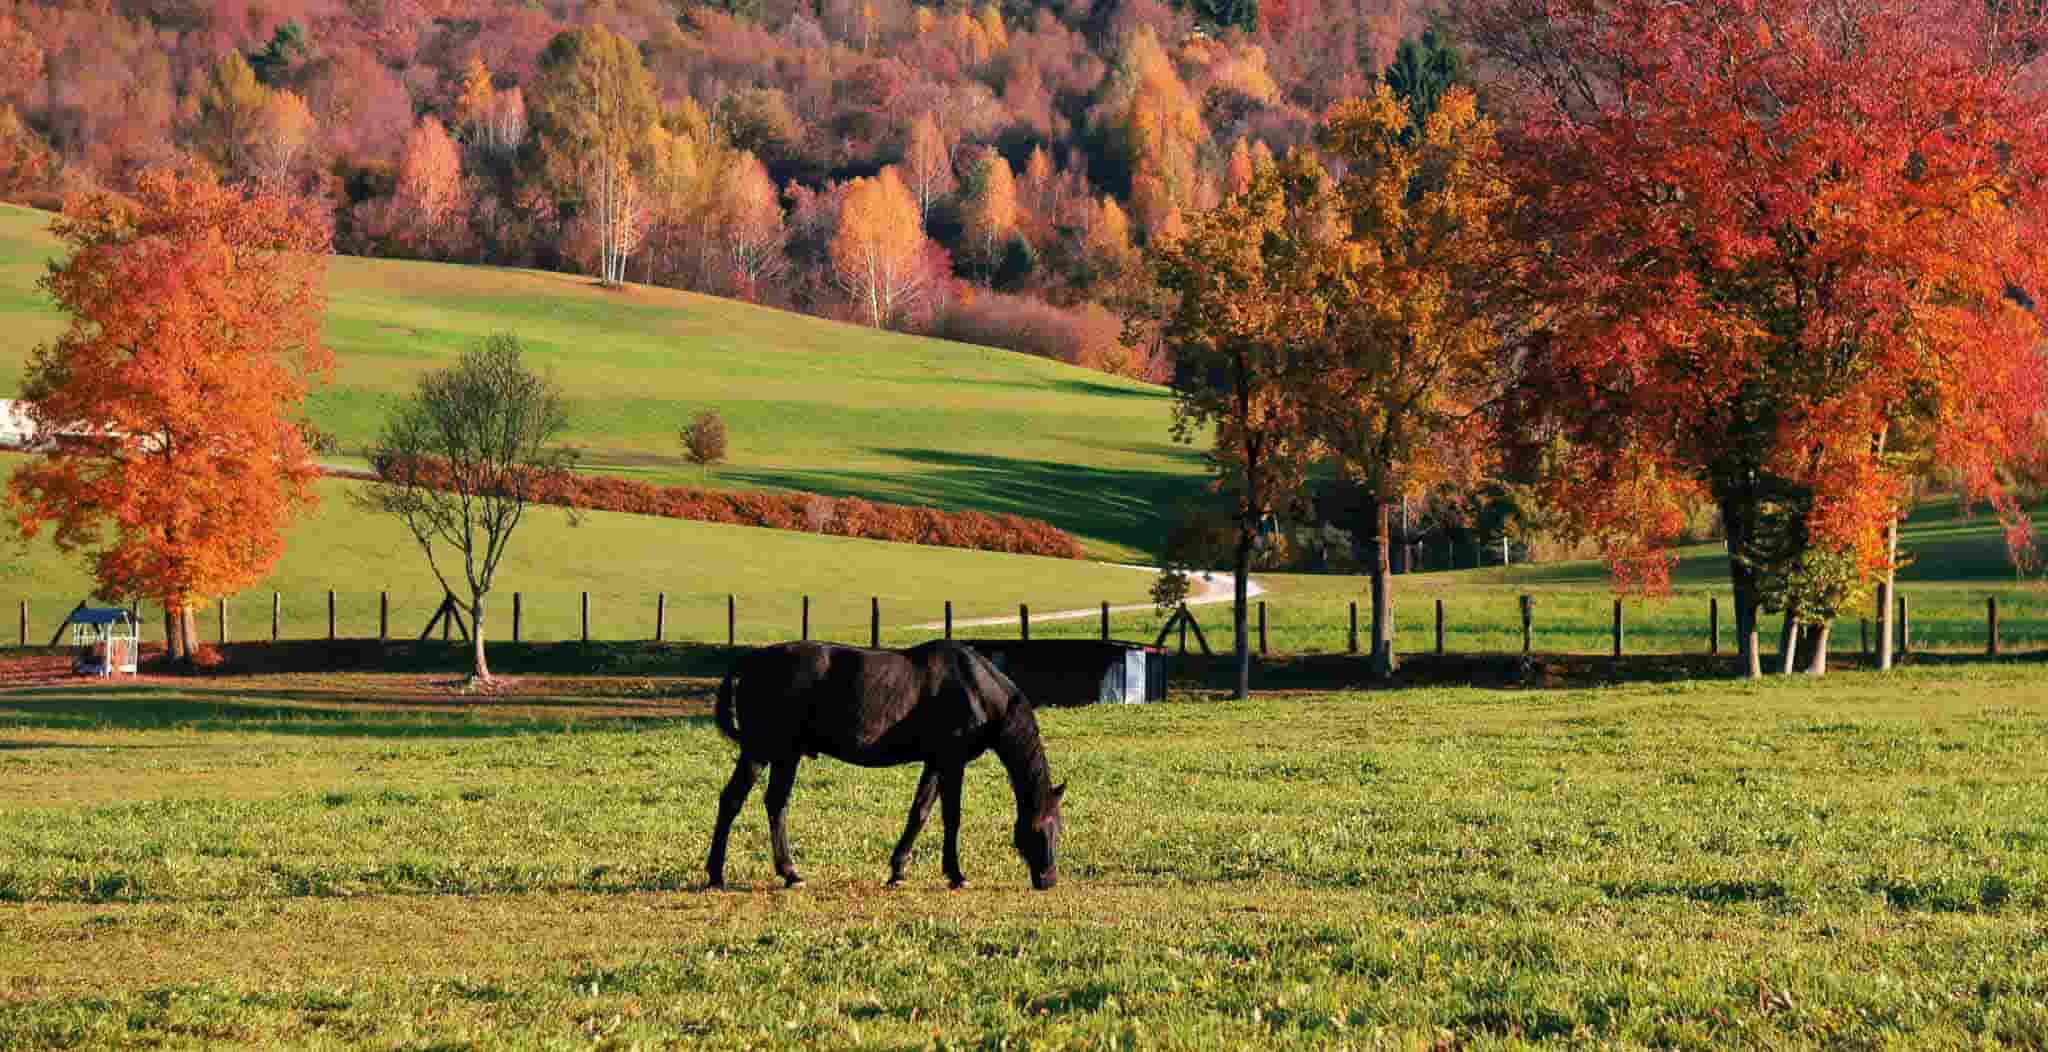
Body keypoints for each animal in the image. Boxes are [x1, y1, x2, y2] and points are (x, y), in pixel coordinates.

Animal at [706, 639, 1066, 891]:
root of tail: (752, 662)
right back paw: (718, 874)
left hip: (785, 755)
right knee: (733, 801)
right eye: (1039, 829)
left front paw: (898, 871)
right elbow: (952, 818)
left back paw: (789, 873)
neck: (975, 688)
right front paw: (956, 875)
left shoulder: (935, 762)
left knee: (775, 804)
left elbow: (919, 812)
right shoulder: (952, 762)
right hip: (761, 750)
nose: (1048, 880)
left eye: (1058, 830)